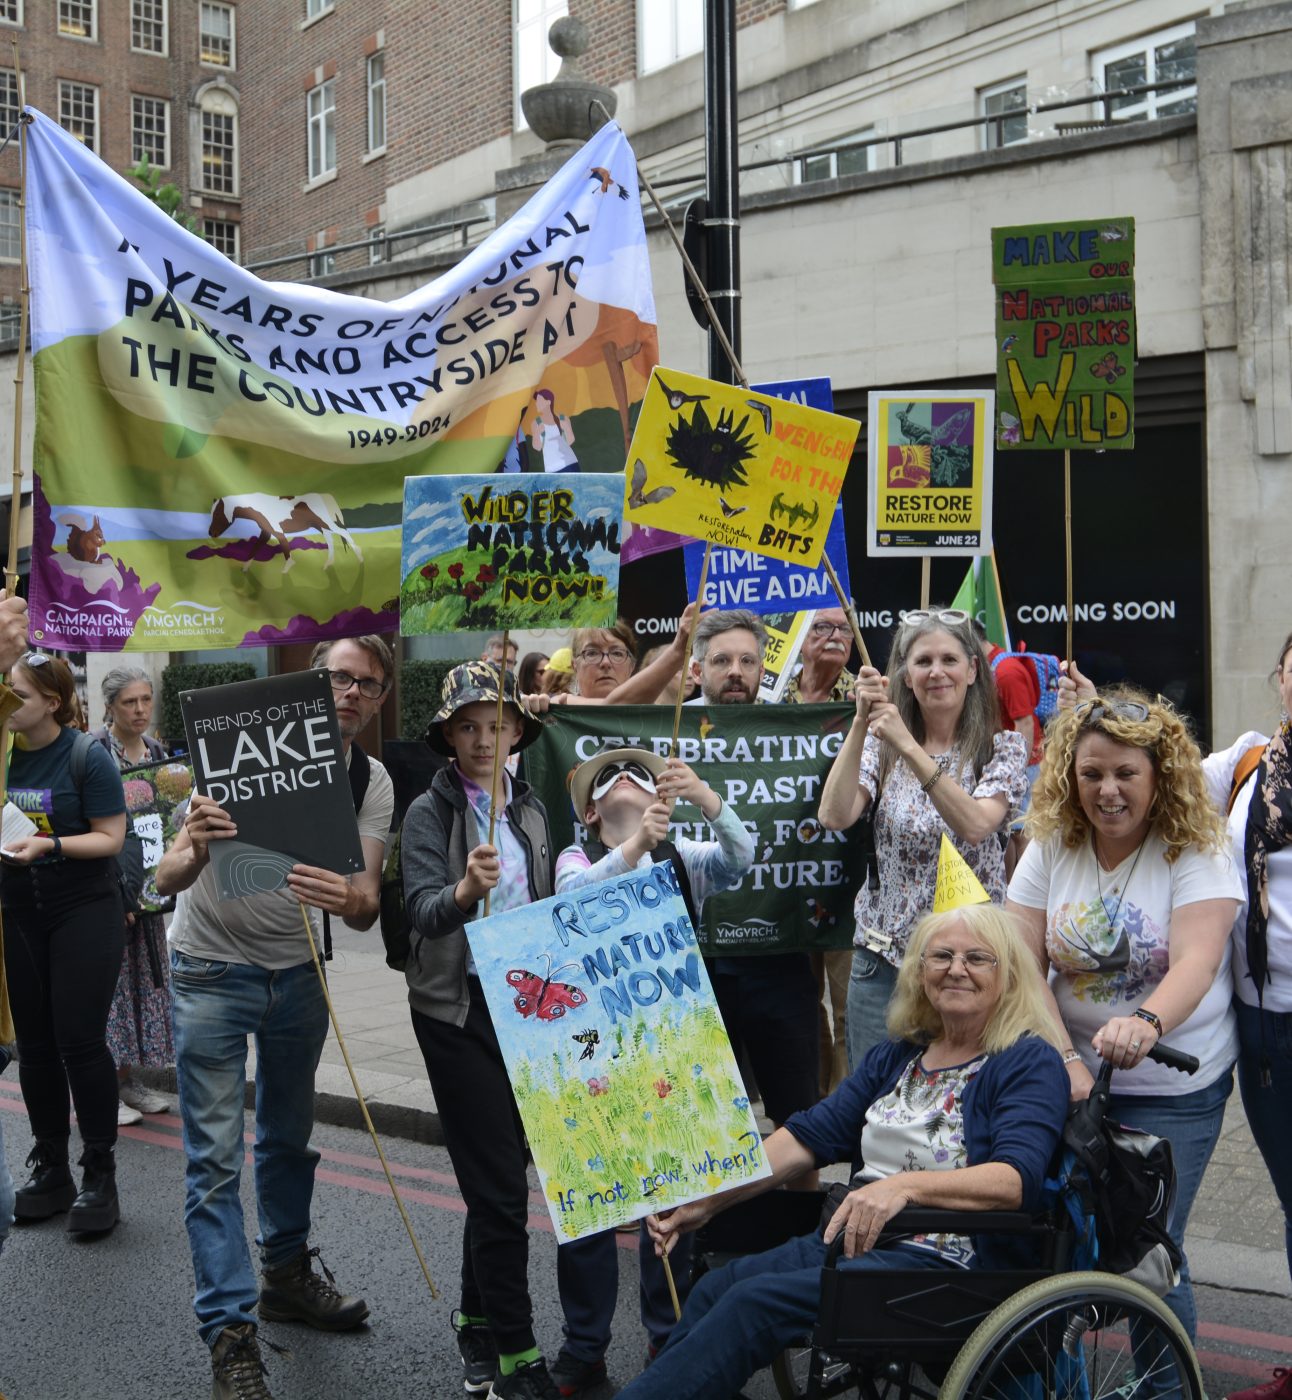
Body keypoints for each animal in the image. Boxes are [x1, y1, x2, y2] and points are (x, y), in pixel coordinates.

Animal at [209, 492, 363, 574]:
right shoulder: (266, 533)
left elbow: (285, 547)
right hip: (321, 526)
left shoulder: (276, 531)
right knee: (330, 540)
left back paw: (360, 559)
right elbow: (255, 549)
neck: (261, 508)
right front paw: (245, 569)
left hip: (326, 523)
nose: (211, 533)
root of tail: (323, 496)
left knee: (343, 533)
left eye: (217, 514)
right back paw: (327, 565)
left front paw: (285, 571)